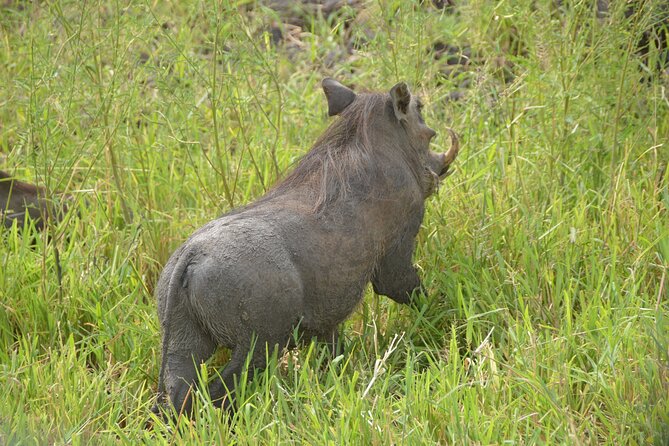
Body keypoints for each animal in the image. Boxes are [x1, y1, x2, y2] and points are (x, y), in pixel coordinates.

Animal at [153, 78, 460, 416]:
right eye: (420, 109)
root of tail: (190, 256)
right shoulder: (398, 246)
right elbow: (408, 288)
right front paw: (441, 315)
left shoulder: (327, 314)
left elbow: (334, 350)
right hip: (260, 342)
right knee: (221, 390)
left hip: (182, 337)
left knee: (176, 393)